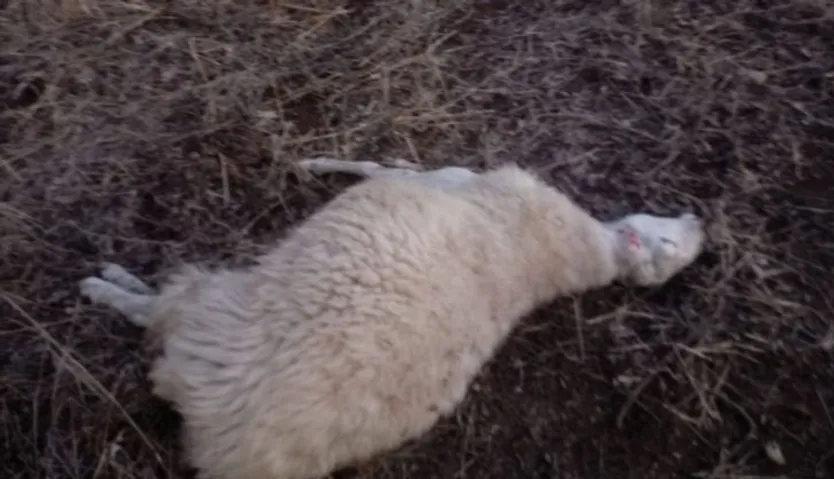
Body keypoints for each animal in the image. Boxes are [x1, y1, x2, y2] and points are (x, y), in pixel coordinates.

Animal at [78, 157, 706, 479]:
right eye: (673, 243)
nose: (700, 221)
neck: (567, 255)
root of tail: (231, 448)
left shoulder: (452, 178)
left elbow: (383, 167)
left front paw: (319, 162)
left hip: (214, 315)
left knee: (160, 309)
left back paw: (107, 285)